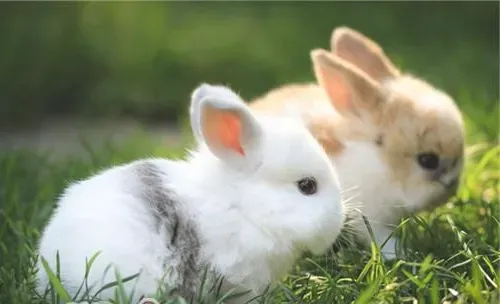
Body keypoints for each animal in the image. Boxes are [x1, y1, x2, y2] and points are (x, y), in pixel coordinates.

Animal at [250, 26, 464, 258]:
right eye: (428, 160)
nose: (451, 186)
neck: (379, 162)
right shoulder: (368, 215)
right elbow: (380, 237)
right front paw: (400, 255)